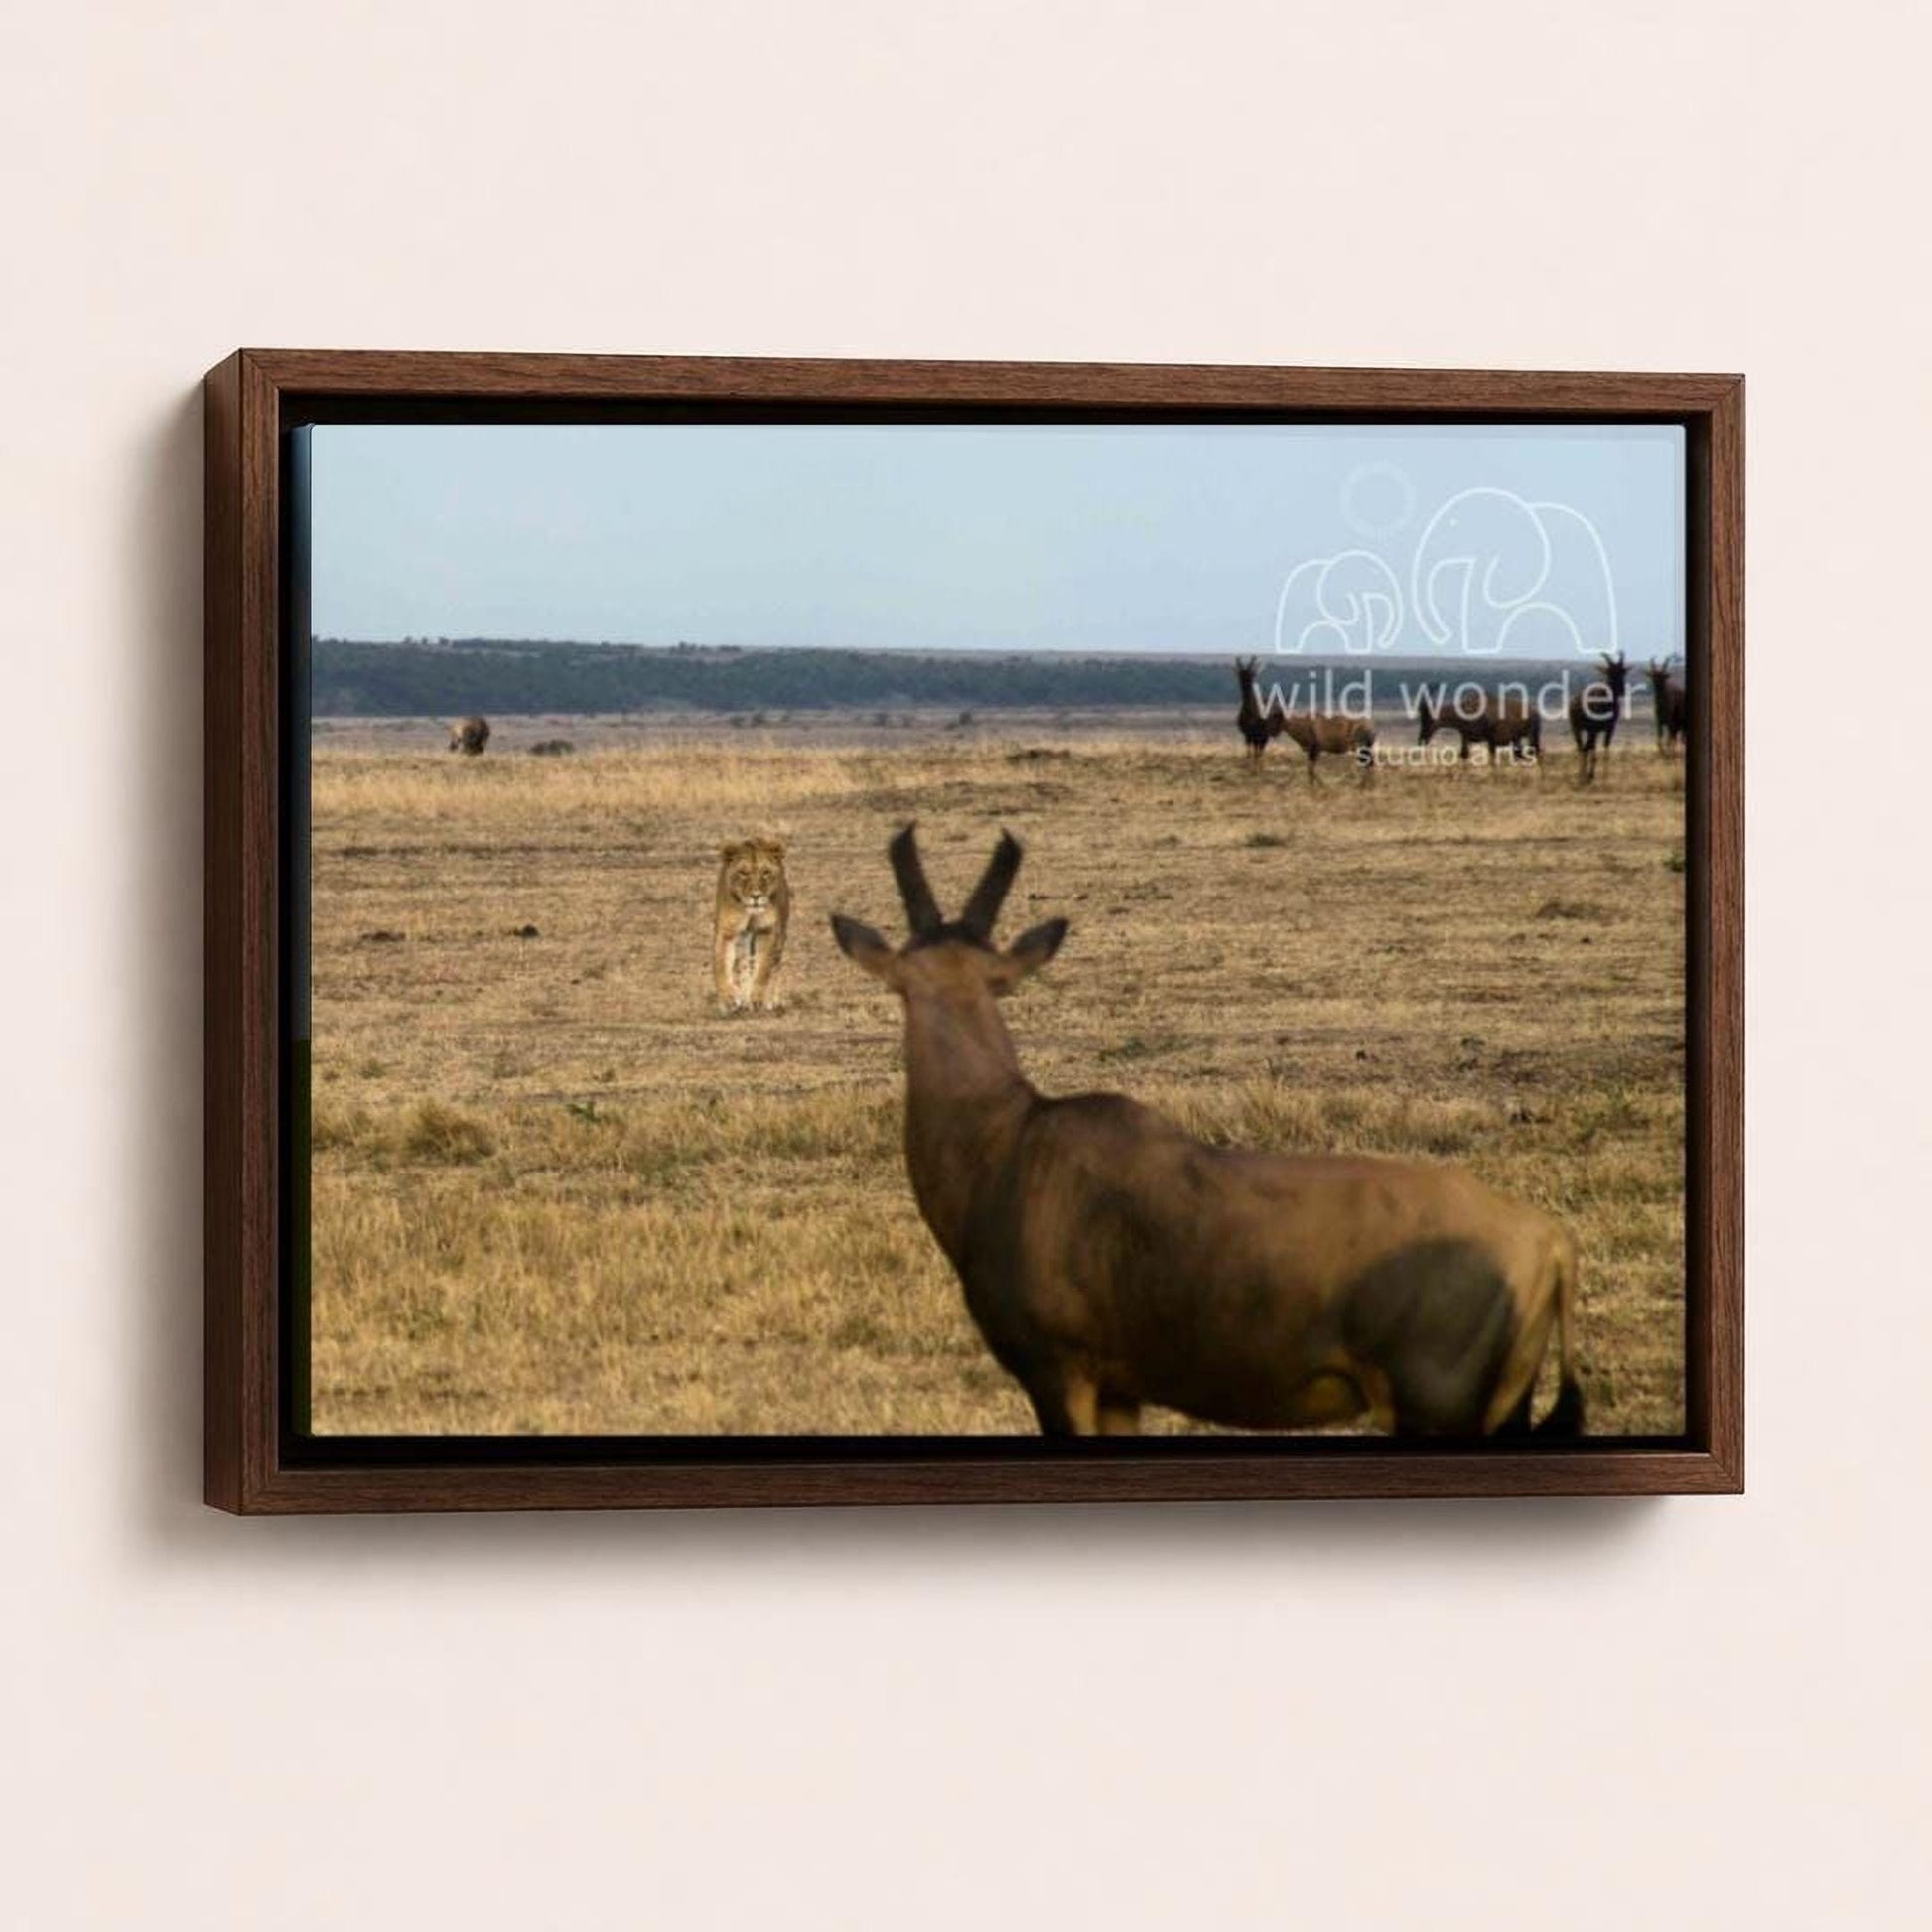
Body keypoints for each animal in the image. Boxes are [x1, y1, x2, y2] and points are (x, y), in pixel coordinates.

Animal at [713, 838, 791, 1012]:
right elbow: (721, 965)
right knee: (743, 963)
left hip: (781, 934)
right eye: (743, 872)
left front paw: (757, 999)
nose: (756, 896)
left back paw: (772, 999)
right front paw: (729, 999)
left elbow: (763, 968)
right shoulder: (727, 931)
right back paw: (742, 997)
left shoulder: (767, 931)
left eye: (766, 872)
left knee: (776, 965)